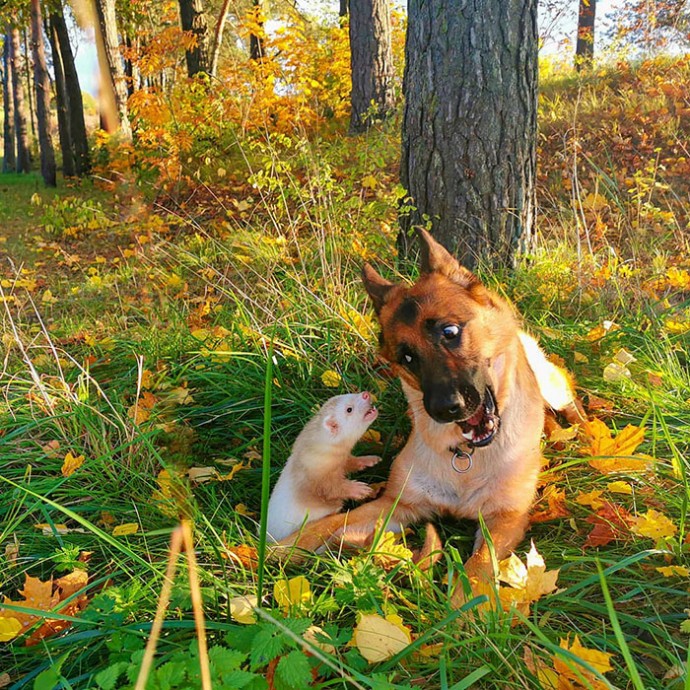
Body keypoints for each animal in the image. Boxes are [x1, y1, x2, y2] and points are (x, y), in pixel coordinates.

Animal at [280, 228, 576, 600]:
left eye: (449, 332)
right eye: (407, 358)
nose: (445, 409)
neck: (465, 457)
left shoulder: (504, 520)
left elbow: (479, 566)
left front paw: (466, 608)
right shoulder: (398, 504)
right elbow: (330, 524)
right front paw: (276, 548)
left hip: (553, 387)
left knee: (571, 401)